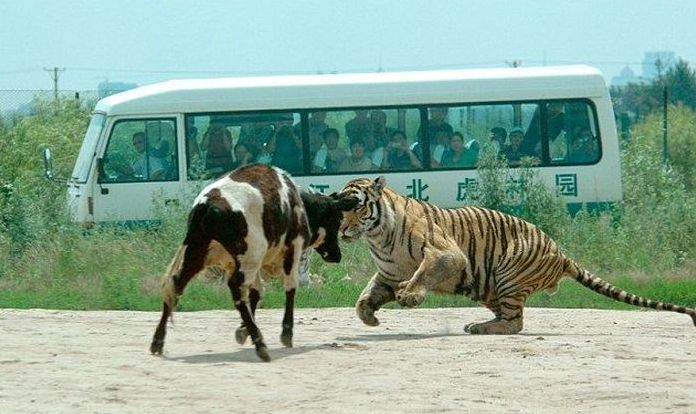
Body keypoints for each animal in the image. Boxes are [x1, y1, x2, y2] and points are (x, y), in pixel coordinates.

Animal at [146, 163, 354, 360]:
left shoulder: (255, 263)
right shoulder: (291, 250)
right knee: (236, 290)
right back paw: (260, 344)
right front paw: (285, 333)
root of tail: (207, 205)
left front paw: (243, 329)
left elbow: (256, 293)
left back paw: (157, 341)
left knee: (175, 286)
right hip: (247, 257)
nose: (337, 255)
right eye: (337, 220)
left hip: (197, 254)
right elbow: (289, 289)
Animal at [338, 175, 696, 334]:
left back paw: (478, 327)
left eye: (355, 206)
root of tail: (560, 252)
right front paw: (369, 316)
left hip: (507, 273)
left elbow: (424, 272)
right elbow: (364, 297)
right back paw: (481, 323)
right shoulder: (389, 272)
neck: (377, 237)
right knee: (509, 317)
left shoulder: (447, 254)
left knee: (515, 322)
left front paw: (409, 296)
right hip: (489, 285)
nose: (340, 229)